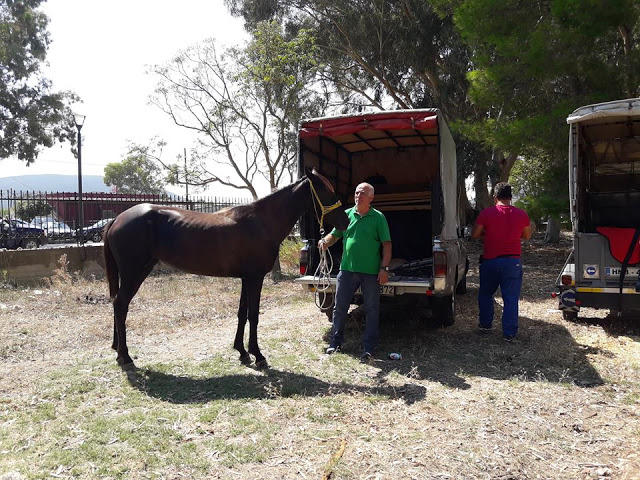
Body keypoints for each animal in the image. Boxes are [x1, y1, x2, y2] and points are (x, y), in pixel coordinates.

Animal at [102, 169, 348, 372]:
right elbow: (253, 315)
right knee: (120, 305)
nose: (345, 222)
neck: (262, 223)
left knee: (116, 303)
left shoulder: (246, 278)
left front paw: (242, 352)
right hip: (134, 273)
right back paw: (126, 357)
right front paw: (258, 355)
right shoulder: (255, 278)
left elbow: (241, 313)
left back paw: (118, 351)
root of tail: (117, 218)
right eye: (325, 191)